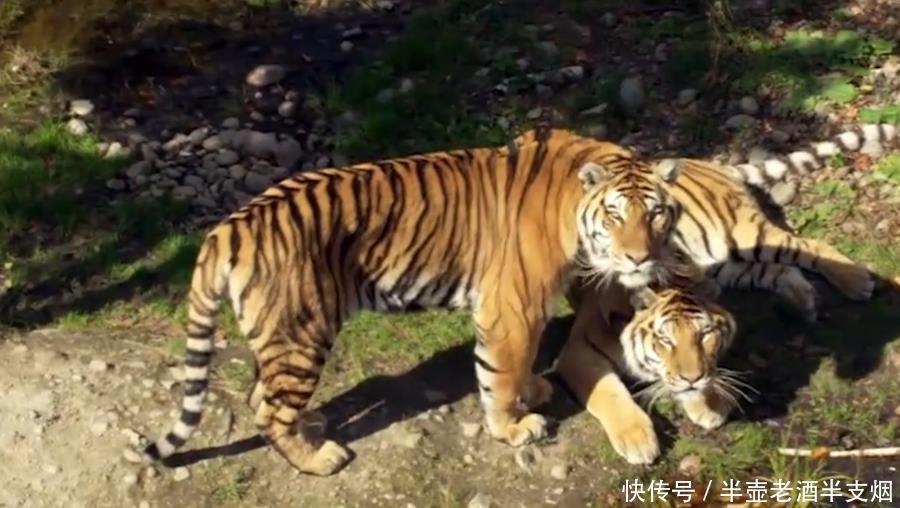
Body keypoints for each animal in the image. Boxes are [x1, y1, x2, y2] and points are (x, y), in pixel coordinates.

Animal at [142, 128, 689, 476]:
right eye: (615, 216)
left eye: (656, 214)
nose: (639, 258)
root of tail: (226, 229)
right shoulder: (511, 308)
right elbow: (502, 373)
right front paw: (513, 428)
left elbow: (522, 364)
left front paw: (533, 391)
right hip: (301, 332)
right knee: (267, 411)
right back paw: (319, 459)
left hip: (281, 336)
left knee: (262, 396)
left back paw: (313, 427)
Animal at [555, 277, 739, 465]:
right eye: (666, 340)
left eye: (703, 335)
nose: (693, 379)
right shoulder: (579, 353)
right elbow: (608, 392)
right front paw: (636, 438)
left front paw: (712, 402)